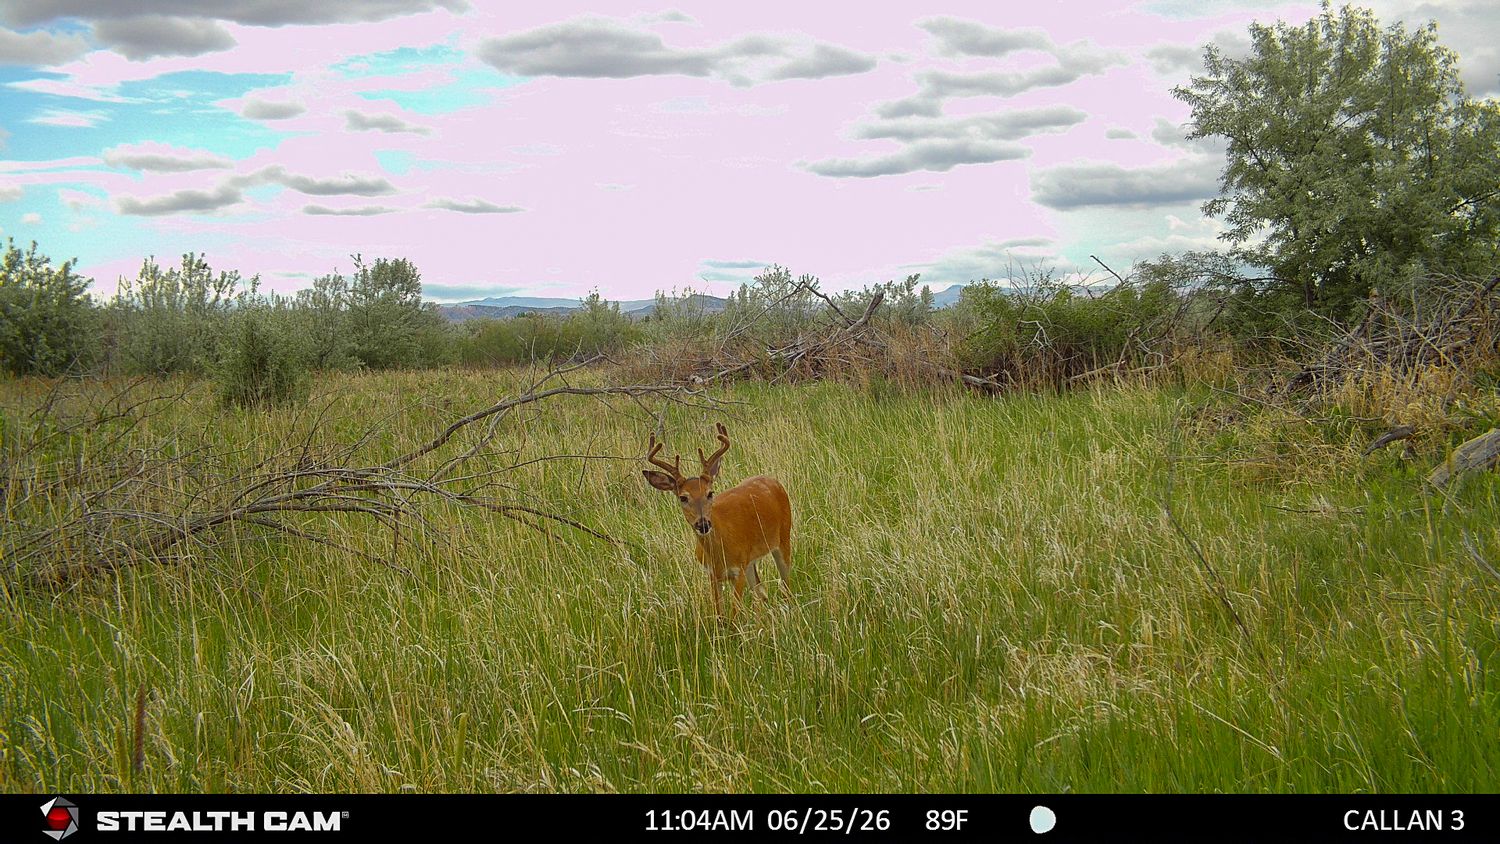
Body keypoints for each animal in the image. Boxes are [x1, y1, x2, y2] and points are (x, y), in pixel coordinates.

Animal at [642, 423, 792, 620]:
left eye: (710, 493)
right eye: (683, 497)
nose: (703, 524)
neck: (720, 552)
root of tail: (773, 481)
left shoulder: (739, 569)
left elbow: (734, 614)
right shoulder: (713, 575)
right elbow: (719, 614)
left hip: (784, 538)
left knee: (786, 586)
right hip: (751, 561)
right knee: (761, 591)